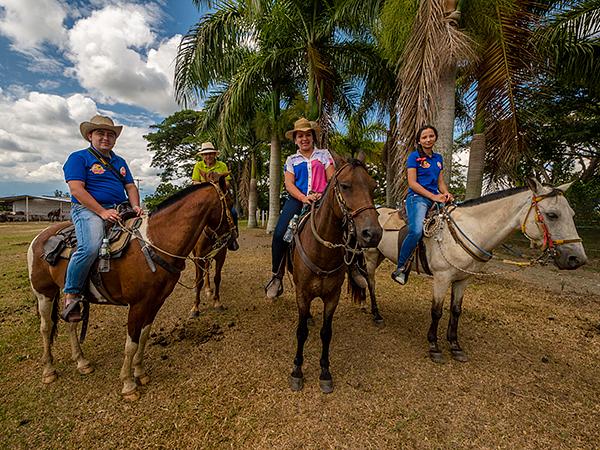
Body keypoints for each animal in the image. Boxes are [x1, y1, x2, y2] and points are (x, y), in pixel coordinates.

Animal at [28, 178, 234, 400]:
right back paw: (48, 370)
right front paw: (128, 384)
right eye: (231, 202)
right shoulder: (137, 305)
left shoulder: (155, 302)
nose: (232, 240)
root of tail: (39, 237)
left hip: (72, 297)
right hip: (44, 293)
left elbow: (143, 336)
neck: (154, 242)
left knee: (72, 324)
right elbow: (131, 343)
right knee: (46, 327)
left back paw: (82, 362)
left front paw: (140, 373)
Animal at [288, 156, 382, 394]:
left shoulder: (333, 297)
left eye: (373, 186)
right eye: (345, 186)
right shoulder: (302, 294)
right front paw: (297, 371)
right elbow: (301, 332)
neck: (322, 252)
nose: (373, 233)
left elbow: (326, 332)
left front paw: (325, 372)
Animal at [350, 178, 588, 364]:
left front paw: (455, 346)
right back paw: (376, 314)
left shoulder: (463, 279)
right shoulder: (442, 278)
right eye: (552, 214)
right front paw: (434, 347)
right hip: (370, 256)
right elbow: (436, 311)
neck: (471, 229)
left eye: (572, 213)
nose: (577, 259)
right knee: (371, 281)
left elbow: (456, 311)